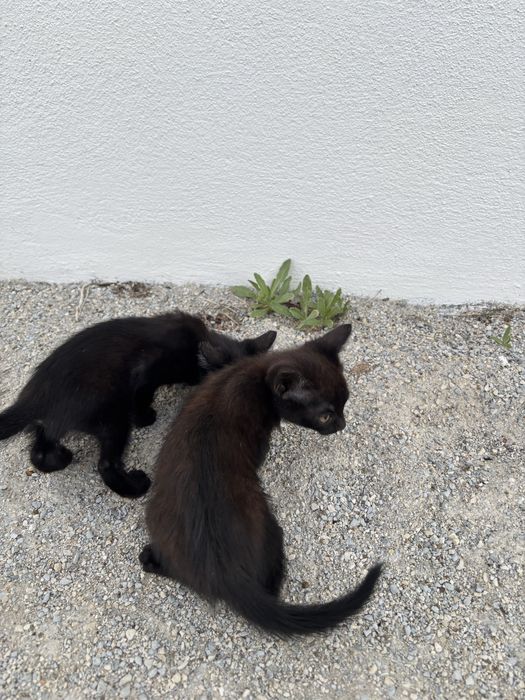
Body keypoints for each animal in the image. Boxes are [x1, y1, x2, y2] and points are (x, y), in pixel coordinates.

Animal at [0, 312, 276, 498]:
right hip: (111, 416)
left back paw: (61, 457)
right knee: (106, 464)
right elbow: (143, 394)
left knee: (39, 450)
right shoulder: (147, 370)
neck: (197, 345)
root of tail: (35, 397)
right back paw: (135, 486)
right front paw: (145, 417)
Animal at [141, 323, 382, 635]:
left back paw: (151, 559)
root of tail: (226, 573)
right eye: (326, 417)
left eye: (345, 402)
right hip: (273, 531)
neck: (253, 375)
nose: (342, 425)